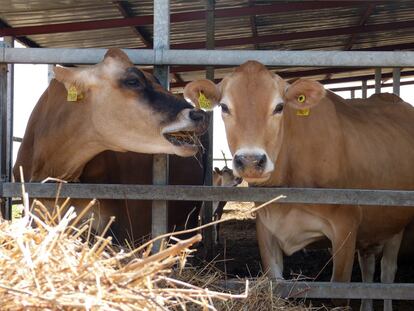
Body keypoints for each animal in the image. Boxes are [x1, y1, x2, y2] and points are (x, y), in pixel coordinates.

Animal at [186, 59, 414, 310]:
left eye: (279, 107)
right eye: (225, 107)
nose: (250, 161)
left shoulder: (346, 225)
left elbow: (340, 293)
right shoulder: (266, 227)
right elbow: (276, 283)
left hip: (396, 224)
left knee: (387, 274)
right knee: (368, 267)